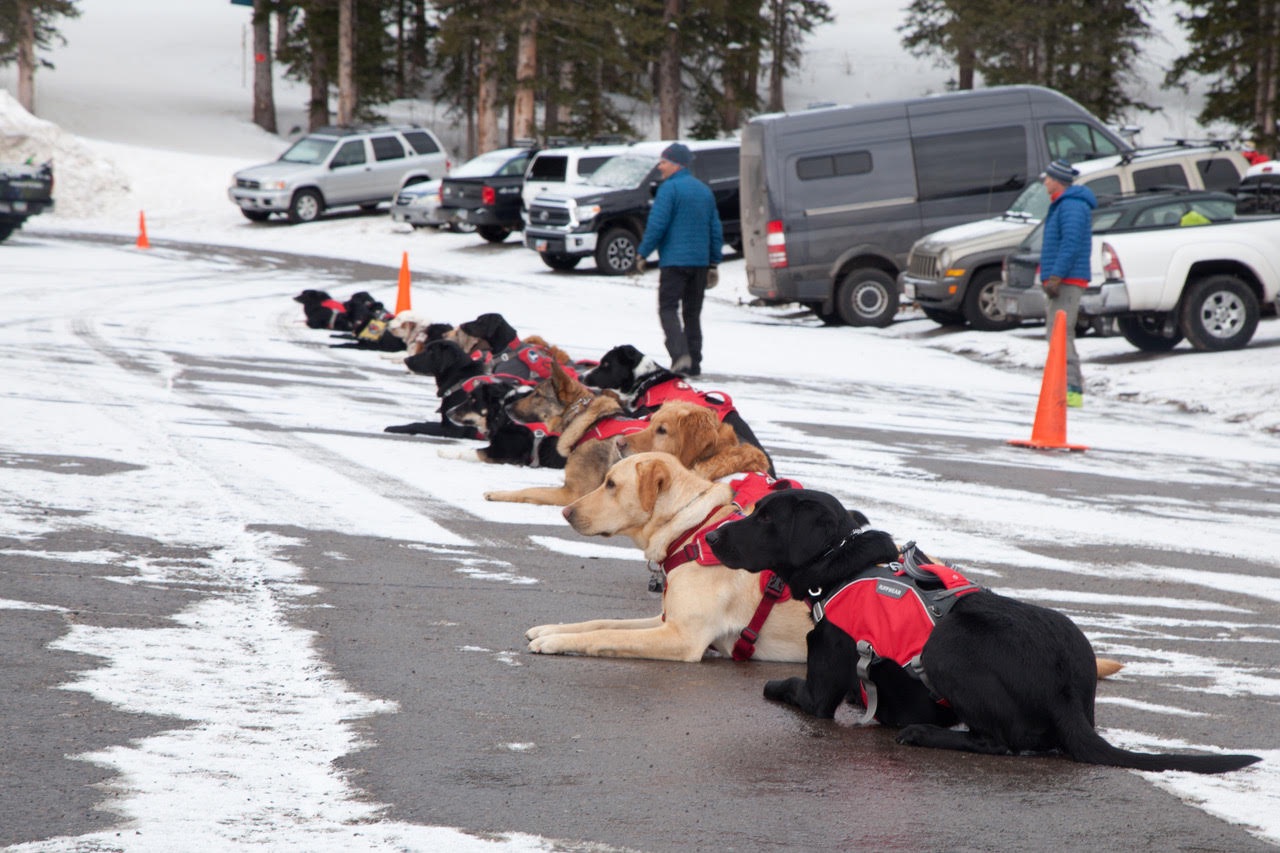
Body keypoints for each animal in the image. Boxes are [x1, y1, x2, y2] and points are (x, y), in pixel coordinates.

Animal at [706, 484, 1264, 768]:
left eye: (765, 519)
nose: (710, 538)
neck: (841, 564)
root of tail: (1067, 693)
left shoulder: (821, 687)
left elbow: (787, 687)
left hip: (949, 647)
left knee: (998, 742)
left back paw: (922, 732)